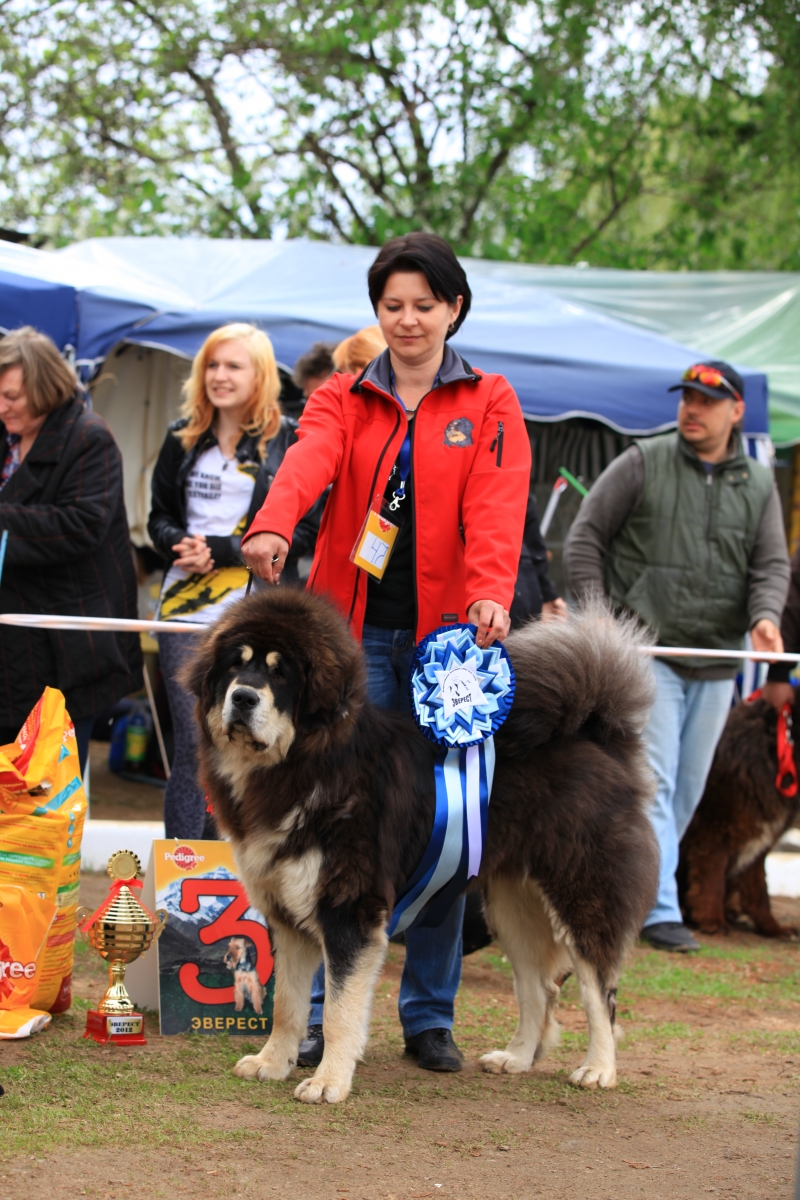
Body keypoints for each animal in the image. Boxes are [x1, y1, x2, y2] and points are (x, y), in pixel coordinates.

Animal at [184, 585, 662, 1099]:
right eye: (235, 667)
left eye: (280, 673)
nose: (243, 697)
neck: (309, 761)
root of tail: (597, 735)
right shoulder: (287, 913)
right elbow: (288, 1004)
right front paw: (273, 1062)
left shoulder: (349, 908)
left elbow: (337, 1011)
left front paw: (329, 1082)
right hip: (513, 906)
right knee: (540, 988)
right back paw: (515, 1058)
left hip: (583, 898)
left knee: (599, 993)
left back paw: (599, 1069)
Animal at [681, 696, 796, 936]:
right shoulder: (714, 831)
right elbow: (711, 880)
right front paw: (713, 921)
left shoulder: (759, 841)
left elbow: (759, 888)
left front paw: (772, 927)